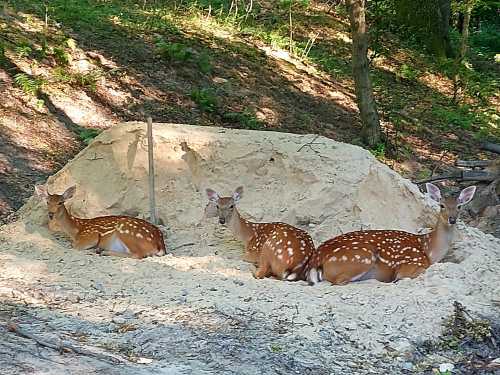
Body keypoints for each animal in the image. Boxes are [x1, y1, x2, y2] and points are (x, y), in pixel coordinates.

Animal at [36, 186, 168, 262]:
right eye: (47, 202)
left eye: (60, 202)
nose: (51, 214)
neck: (76, 229)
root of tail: (160, 244)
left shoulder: (91, 235)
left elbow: (74, 246)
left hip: (128, 233)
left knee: (138, 255)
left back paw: (103, 251)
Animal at [306, 184, 478, 286]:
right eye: (441, 205)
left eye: (459, 206)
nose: (452, 219)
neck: (429, 249)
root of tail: (317, 258)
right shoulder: (412, 264)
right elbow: (406, 275)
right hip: (361, 257)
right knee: (339, 281)